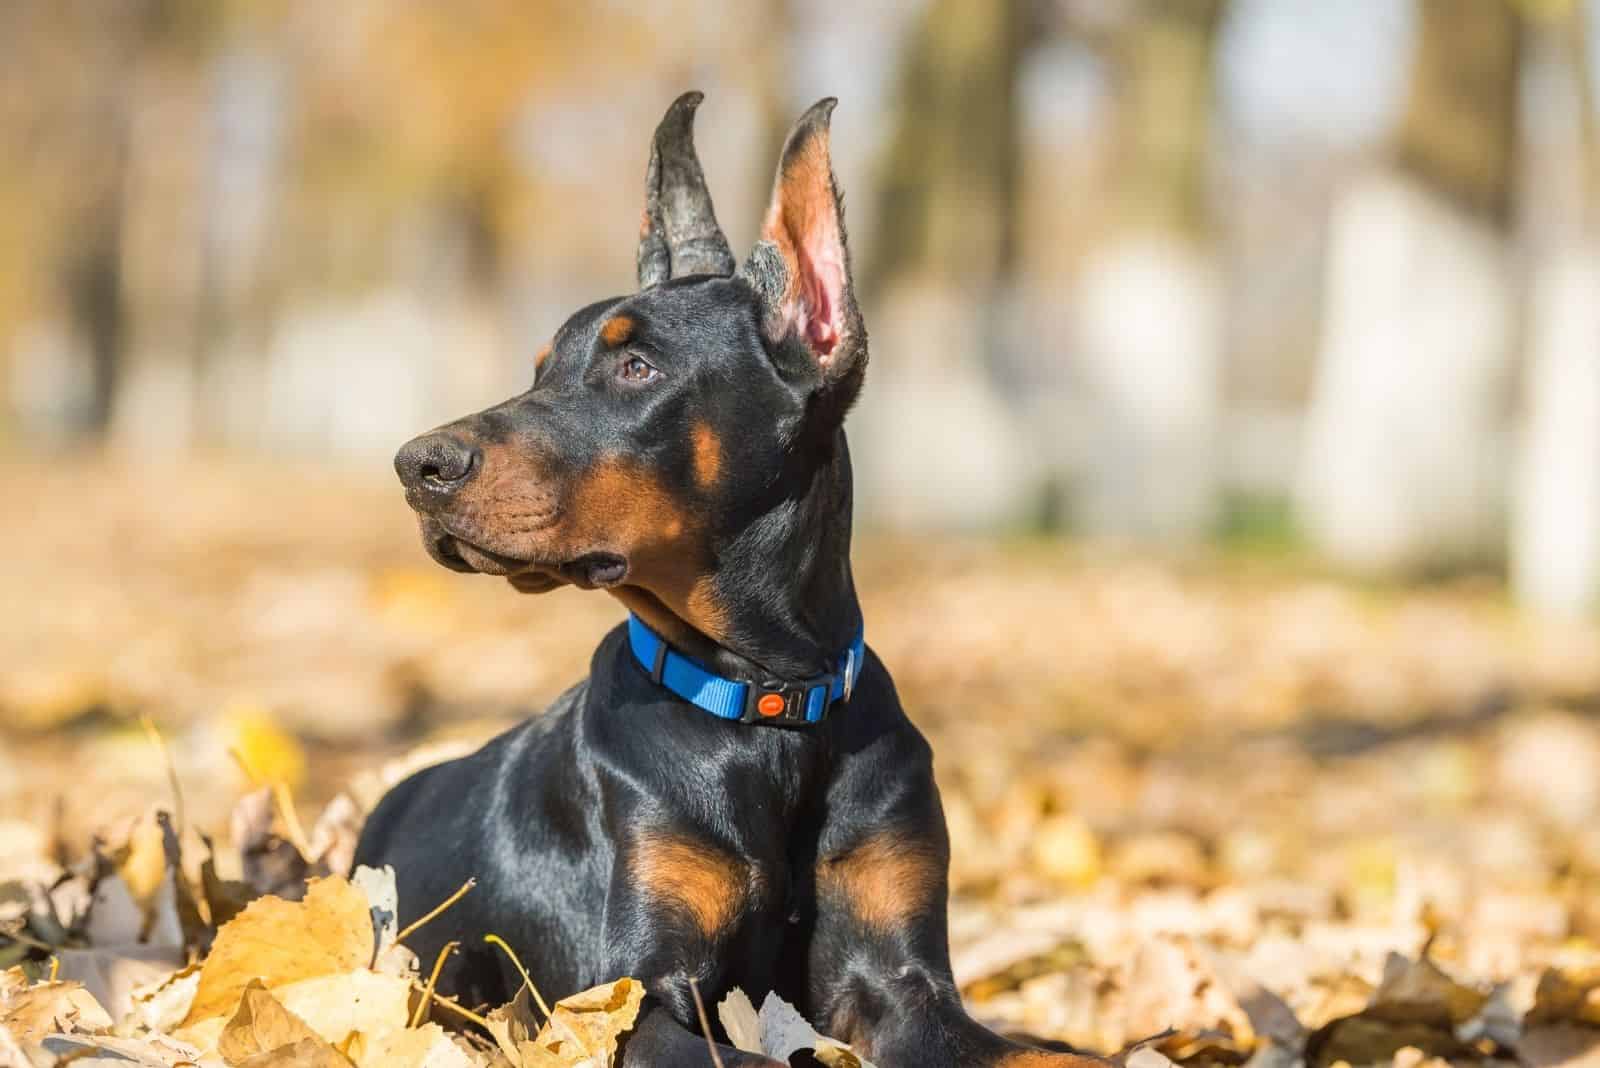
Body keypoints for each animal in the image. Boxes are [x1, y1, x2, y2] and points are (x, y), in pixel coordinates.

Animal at [355, 91, 1094, 1068]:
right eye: (542, 367)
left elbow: (1033, 1049)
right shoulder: (635, 996)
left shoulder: (907, 979)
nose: (418, 467)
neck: (772, 708)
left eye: (637, 366)